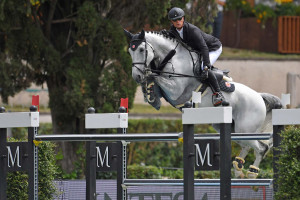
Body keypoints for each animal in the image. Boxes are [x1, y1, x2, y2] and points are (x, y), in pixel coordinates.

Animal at [123, 29, 282, 178]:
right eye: (130, 51)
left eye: (141, 50)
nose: (136, 76)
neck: (173, 59)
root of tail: (259, 97)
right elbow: (154, 83)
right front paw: (150, 95)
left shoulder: (177, 90)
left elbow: (156, 77)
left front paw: (148, 81)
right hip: (232, 129)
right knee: (248, 146)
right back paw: (238, 168)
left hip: (244, 128)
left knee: (261, 148)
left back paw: (251, 172)